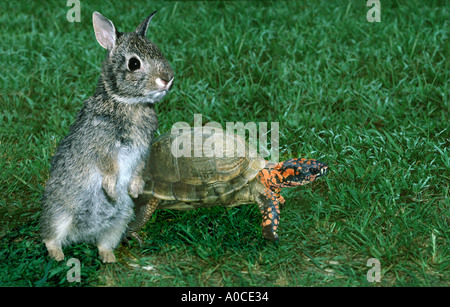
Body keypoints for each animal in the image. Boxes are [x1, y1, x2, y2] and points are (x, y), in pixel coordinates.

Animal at [40, 10, 174, 264]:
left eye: (158, 50)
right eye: (134, 63)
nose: (167, 79)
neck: (127, 102)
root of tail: (82, 235)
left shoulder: (143, 149)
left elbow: (139, 168)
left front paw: (135, 190)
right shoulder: (102, 146)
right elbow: (108, 168)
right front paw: (112, 191)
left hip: (120, 220)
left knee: (105, 241)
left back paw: (108, 257)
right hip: (60, 211)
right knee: (51, 236)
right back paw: (58, 255)